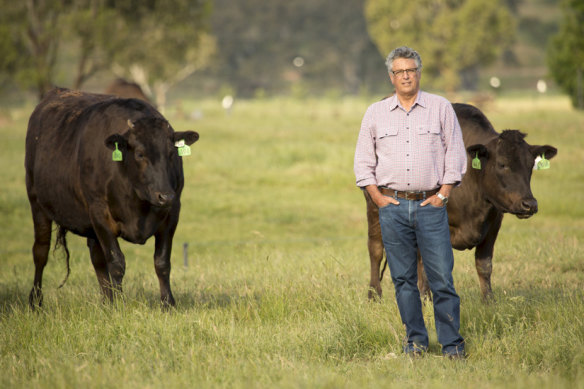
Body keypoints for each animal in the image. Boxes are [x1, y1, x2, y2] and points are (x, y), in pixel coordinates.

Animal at [25, 87, 198, 306]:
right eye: (140, 154)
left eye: (171, 153)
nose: (165, 196)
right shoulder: (99, 212)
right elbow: (116, 262)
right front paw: (120, 304)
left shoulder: (172, 212)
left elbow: (162, 262)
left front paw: (168, 303)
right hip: (37, 204)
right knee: (40, 252)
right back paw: (35, 301)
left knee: (97, 258)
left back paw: (106, 301)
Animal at [364, 101, 556, 298]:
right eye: (502, 164)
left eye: (530, 165)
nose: (529, 204)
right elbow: (424, 263)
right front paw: (426, 299)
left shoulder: (494, 223)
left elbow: (484, 265)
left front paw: (489, 300)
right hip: (374, 208)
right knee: (376, 249)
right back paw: (374, 294)